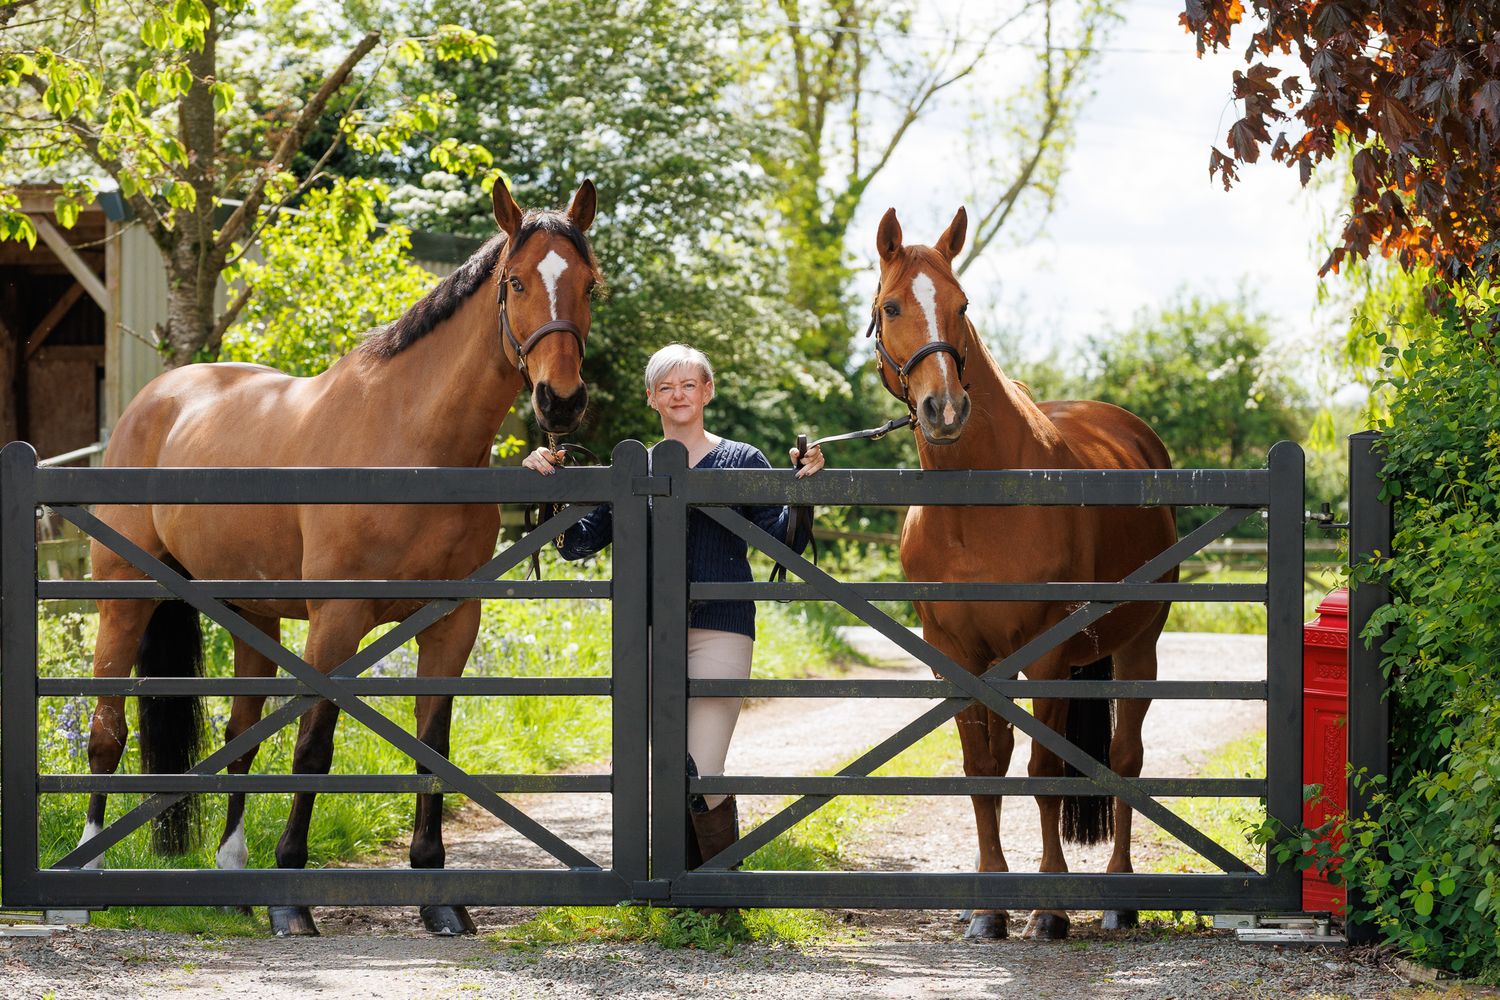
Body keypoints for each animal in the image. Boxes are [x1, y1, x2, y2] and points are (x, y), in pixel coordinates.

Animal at [74, 179, 600, 938]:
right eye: (517, 282)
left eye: (590, 284)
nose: (560, 401)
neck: (409, 441)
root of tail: (156, 400)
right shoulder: (337, 619)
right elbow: (313, 747)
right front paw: (293, 897)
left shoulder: (452, 624)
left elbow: (432, 747)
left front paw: (439, 898)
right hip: (125, 599)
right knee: (106, 731)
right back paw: (87, 876)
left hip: (251, 617)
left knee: (240, 735)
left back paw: (233, 878)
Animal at [870, 206, 1177, 940]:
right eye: (892, 306)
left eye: (962, 304)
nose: (945, 409)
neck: (976, 507)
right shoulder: (957, 658)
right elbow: (983, 768)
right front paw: (988, 906)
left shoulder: (1046, 653)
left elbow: (1043, 769)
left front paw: (1050, 907)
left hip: (1138, 648)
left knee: (1124, 759)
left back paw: (1118, 899)